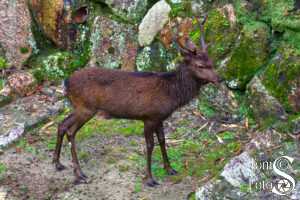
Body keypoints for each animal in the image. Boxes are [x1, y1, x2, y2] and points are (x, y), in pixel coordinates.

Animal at [51, 15, 221, 186]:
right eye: (200, 65)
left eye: (212, 62)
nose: (219, 78)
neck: (171, 93)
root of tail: (66, 82)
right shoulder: (149, 117)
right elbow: (150, 145)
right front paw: (150, 178)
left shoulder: (159, 117)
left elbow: (162, 140)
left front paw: (170, 168)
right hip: (86, 108)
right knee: (71, 131)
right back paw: (79, 174)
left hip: (78, 107)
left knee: (62, 124)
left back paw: (58, 163)